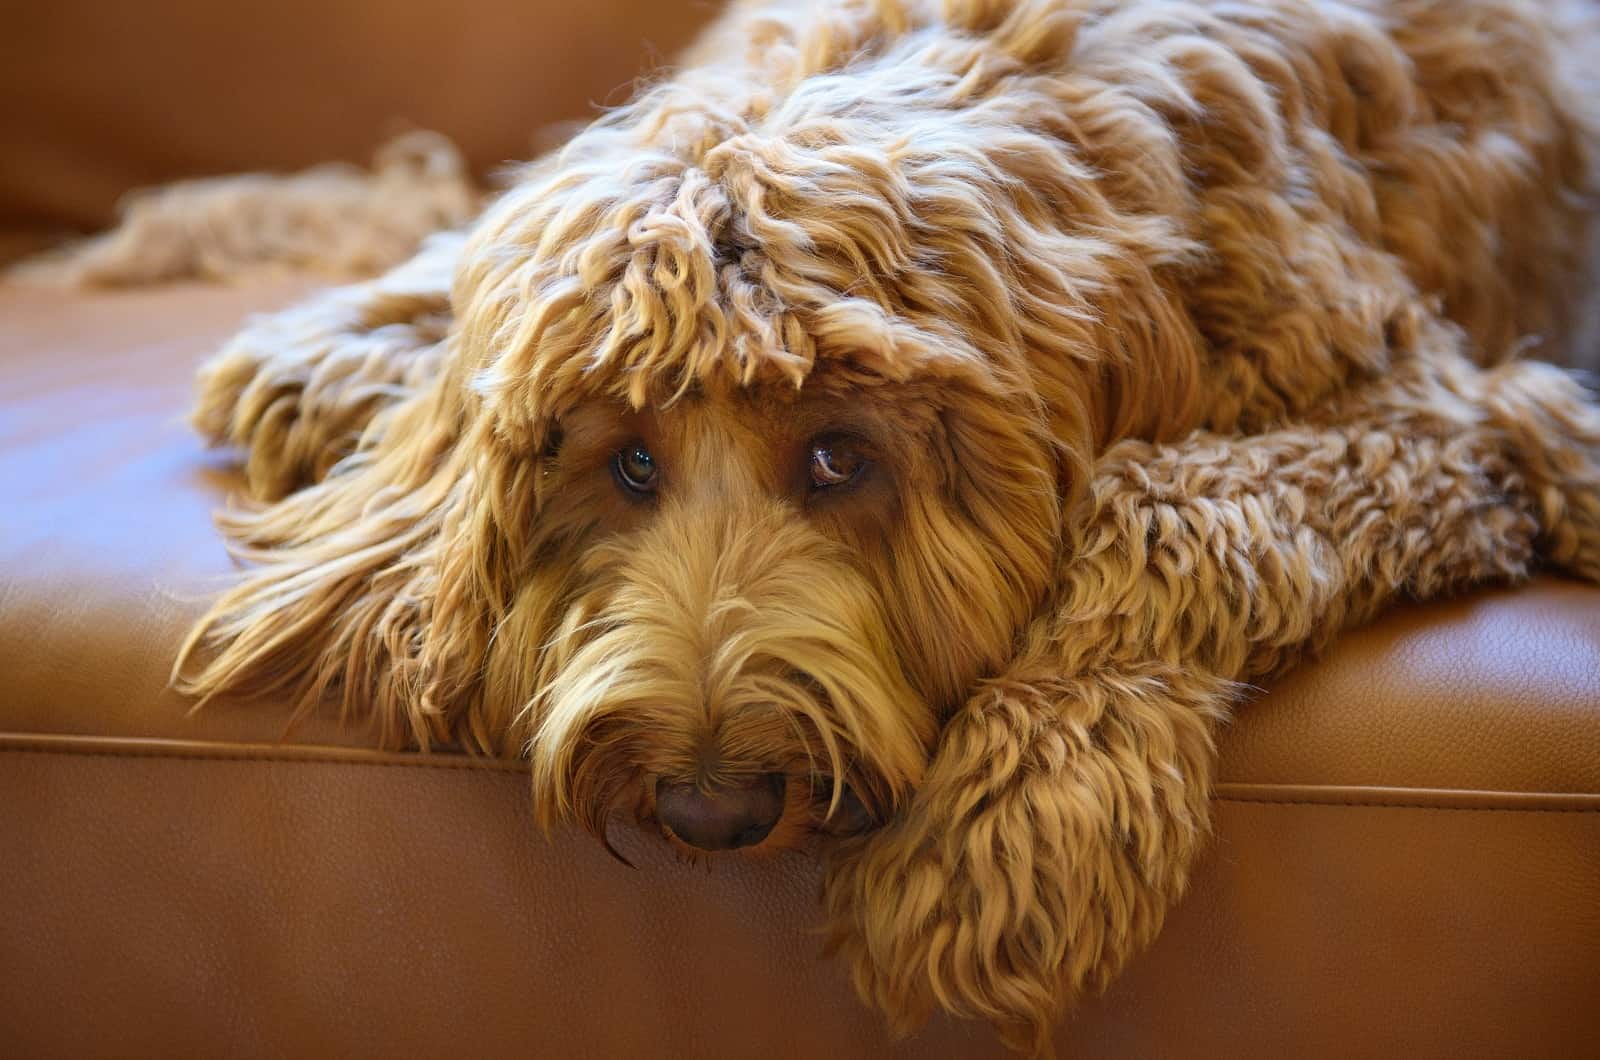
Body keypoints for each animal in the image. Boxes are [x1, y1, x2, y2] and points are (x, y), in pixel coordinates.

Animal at [134, 0, 1600, 1050]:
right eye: (630, 466)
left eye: (839, 457)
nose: (709, 805)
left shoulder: (1452, 419)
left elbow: (1166, 502)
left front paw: (1016, 821)